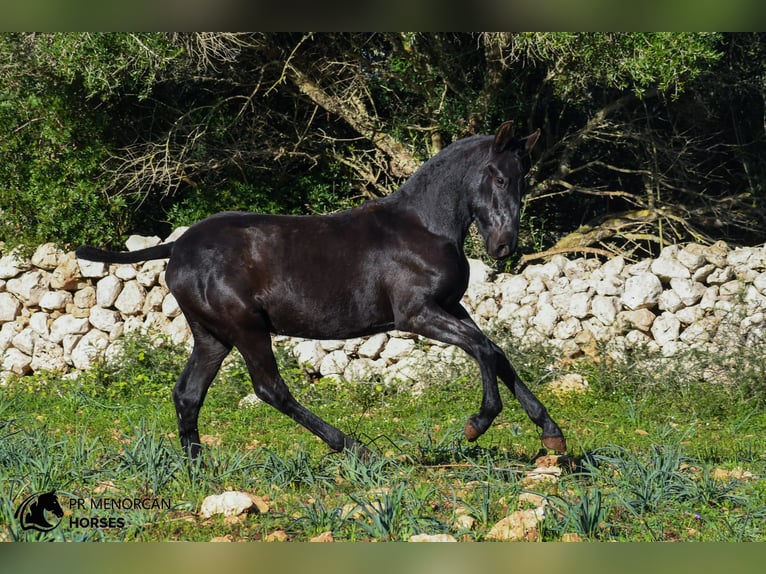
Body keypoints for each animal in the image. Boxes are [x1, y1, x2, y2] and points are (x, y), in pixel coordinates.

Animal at [78, 120, 568, 460]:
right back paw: (355, 448)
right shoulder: (417, 314)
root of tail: (178, 246)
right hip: (245, 328)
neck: (424, 227)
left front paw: (552, 434)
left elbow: (496, 352)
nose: (505, 246)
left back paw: (198, 467)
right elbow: (483, 350)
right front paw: (477, 423)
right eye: (499, 178)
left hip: (213, 336)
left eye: (523, 180)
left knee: (188, 394)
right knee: (271, 390)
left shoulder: (451, 307)